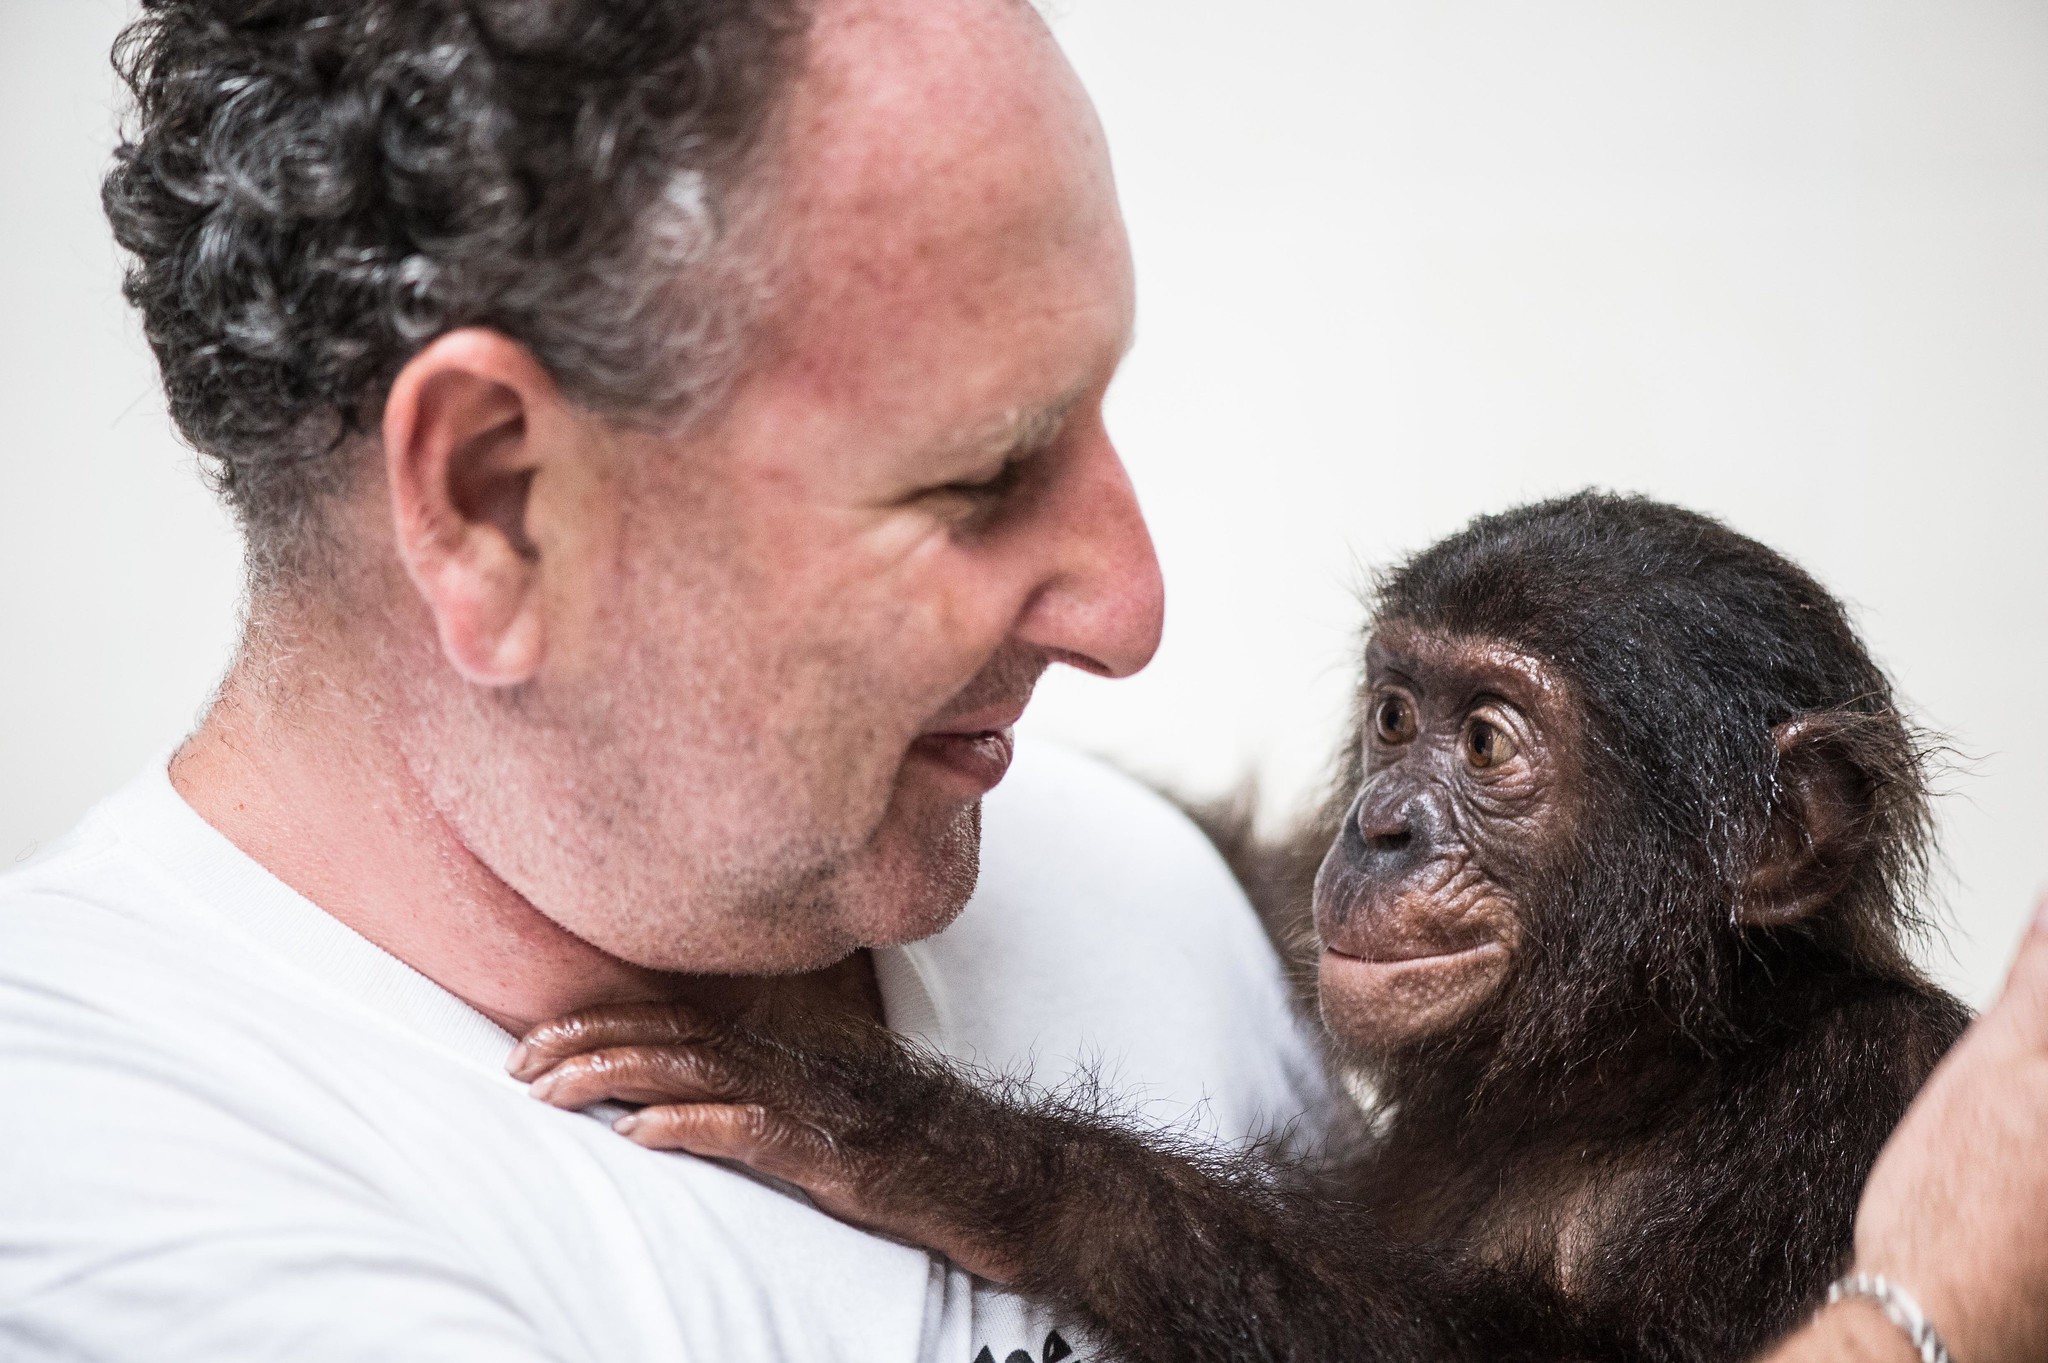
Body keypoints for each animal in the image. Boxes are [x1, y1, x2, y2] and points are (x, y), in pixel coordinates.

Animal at [511, 493, 1972, 1363]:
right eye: (1394, 713)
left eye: (1486, 741)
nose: (1379, 826)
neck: (1638, 1061)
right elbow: (1240, 854)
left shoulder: (1854, 1103)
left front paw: (917, 1136)